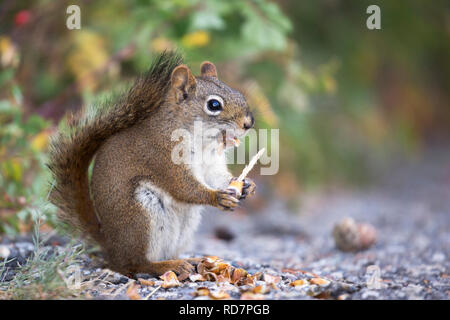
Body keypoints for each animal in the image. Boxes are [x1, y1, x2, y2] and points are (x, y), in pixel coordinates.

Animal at [48, 52, 256, 278]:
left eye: (238, 93)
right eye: (214, 105)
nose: (249, 123)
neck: (201, 141)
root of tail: (110, 247)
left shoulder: (212, 164)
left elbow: (217, 177)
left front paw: (247, 186)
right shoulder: (163, 158)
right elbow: (182, 187)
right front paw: (217, 197)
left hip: (184, 226)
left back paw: (188, 261)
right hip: (141, 218)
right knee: (134, 264)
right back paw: (165, 266)